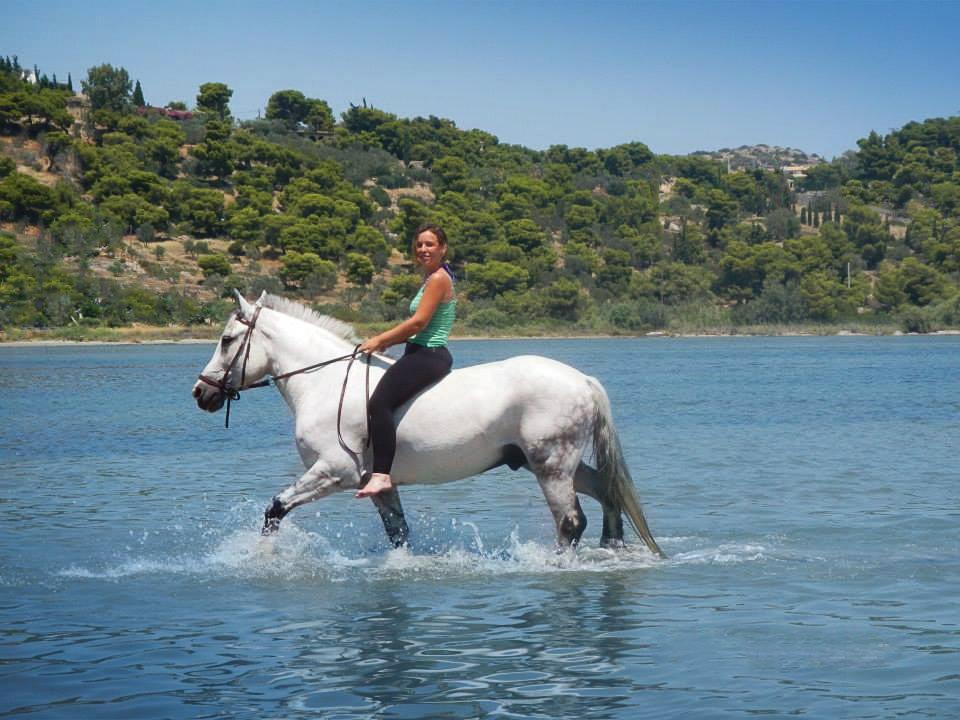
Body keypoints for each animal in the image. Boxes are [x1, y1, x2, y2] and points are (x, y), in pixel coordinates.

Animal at [192, 291, 665, 558]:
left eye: (227, 340)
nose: (201, 393)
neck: (324, 382)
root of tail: (582, 380)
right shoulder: (378, 482)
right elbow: (398, 532)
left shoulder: (333, 472)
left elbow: (274, 509)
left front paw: (261, 558)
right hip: (549, 463)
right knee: (607, 492)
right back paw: (612, 549)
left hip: (551, 465)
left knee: (570, 521)